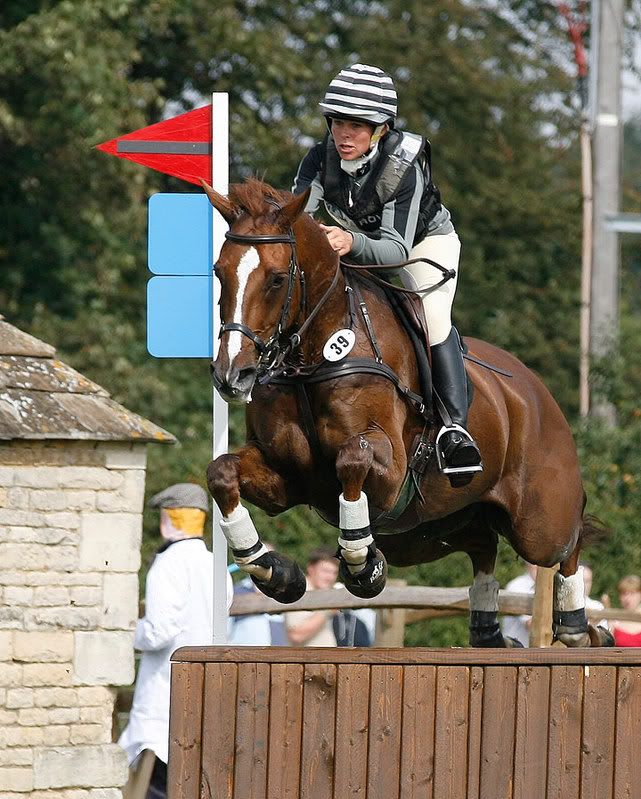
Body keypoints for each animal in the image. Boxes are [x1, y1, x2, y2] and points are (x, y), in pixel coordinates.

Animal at [201, 177, 612, 648]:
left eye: (275, 279)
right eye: (219, 272)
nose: (232, 375)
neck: (312, 359)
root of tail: (536, 391)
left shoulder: (391, 469)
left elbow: (352, 460)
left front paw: (363, 566)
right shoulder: (288, 476)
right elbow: (222, 473)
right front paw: (276, 572)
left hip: (537, 523)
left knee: (567, 540)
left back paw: (580, 627)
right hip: (431, 530)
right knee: (483, 546)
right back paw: (491, 632)